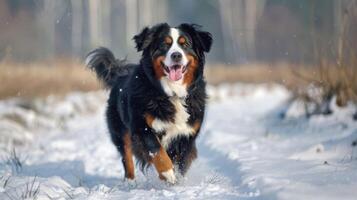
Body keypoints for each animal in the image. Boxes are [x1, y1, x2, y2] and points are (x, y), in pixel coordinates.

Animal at [85, 22, 211, 184]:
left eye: (185, 44)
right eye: (164, 44)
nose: (176, 55)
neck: (172, 94)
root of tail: (120, 73)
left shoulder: (187, 134)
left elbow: (180, 161)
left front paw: (176, 179)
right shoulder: (141, 125)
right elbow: (156, 150)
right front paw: (168, 173)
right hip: (120, 129)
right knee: (126, 156)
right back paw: (130, 182)